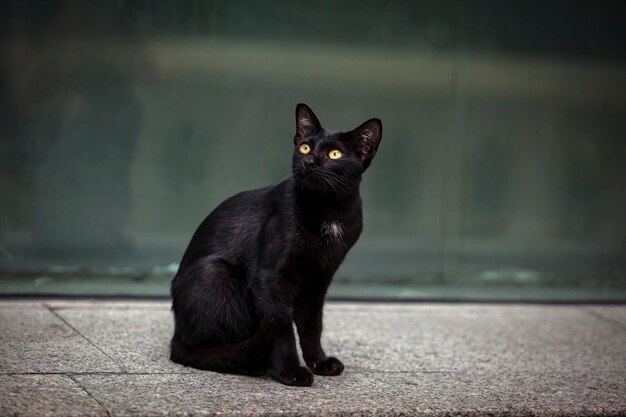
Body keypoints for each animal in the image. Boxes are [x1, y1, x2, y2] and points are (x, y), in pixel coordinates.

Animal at [168, 102, 380, 386]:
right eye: (305, 147)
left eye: (335, 154)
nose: (309, 161)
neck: (329, 211)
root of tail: (177, 334)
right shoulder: (269, 279)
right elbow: (282, 330)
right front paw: (291, 372)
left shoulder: (318, 280)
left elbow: (313, 326)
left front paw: (320, 362)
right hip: (214, 272)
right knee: (204, 347)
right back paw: (252, 363)